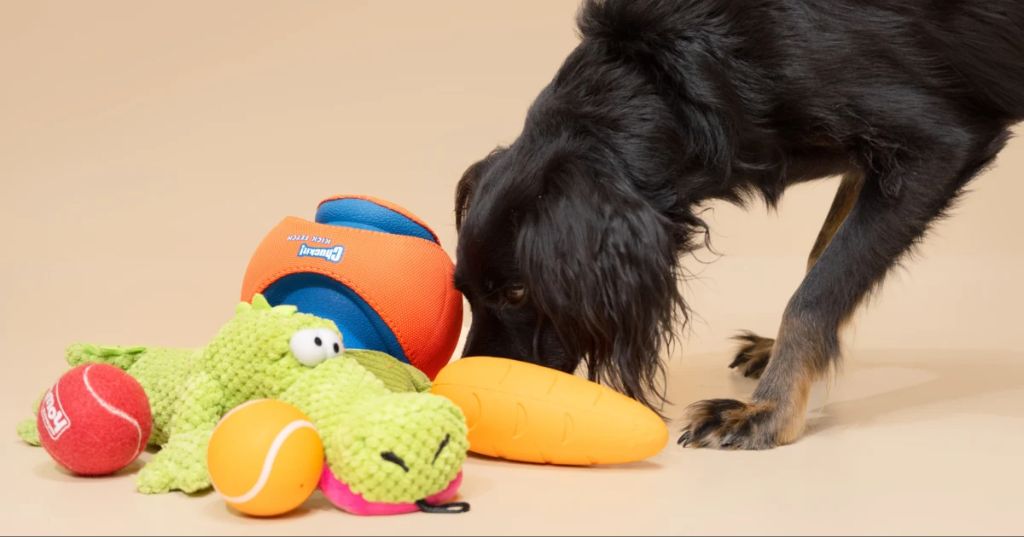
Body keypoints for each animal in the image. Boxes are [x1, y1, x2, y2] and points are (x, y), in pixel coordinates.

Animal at [456, 0, 1024, 448]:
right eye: (464, 290)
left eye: (517, 292)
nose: (469, 407)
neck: (674, 76)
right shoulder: (871, 159)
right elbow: (823, 259)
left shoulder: (939, 144)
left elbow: (818, 291)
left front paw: (770, 412)